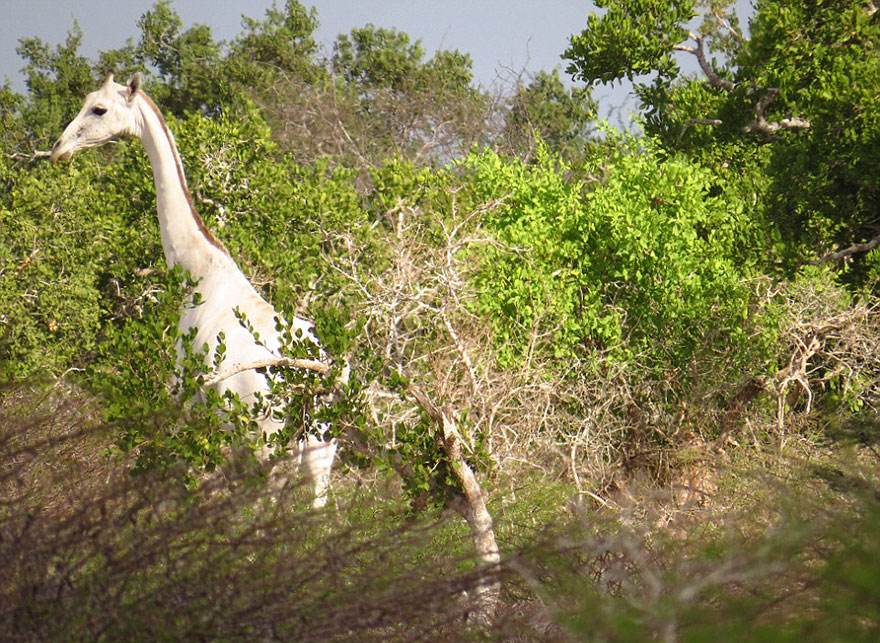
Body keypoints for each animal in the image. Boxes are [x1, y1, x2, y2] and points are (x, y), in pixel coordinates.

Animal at [51, 73, 337, 508]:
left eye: (98, 108)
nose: (59, 150)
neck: (197, 272)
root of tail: (310, 373)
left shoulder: (184, 398)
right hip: (321, 445)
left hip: (264, 439)